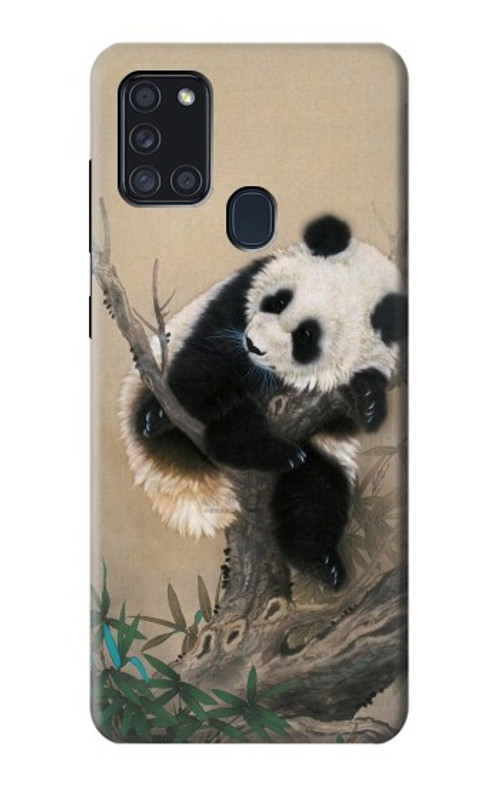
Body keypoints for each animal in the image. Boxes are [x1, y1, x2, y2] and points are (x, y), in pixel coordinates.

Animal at [119, 215, 407, 589]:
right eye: (279, 301)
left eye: (305, 336)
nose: (253, 345)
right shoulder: (238, 294)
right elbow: (211, 357)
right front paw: (159, 413)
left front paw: (370, 400)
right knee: (234, 426)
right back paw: (265, 449)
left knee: (315, 490)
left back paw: (321, 561)